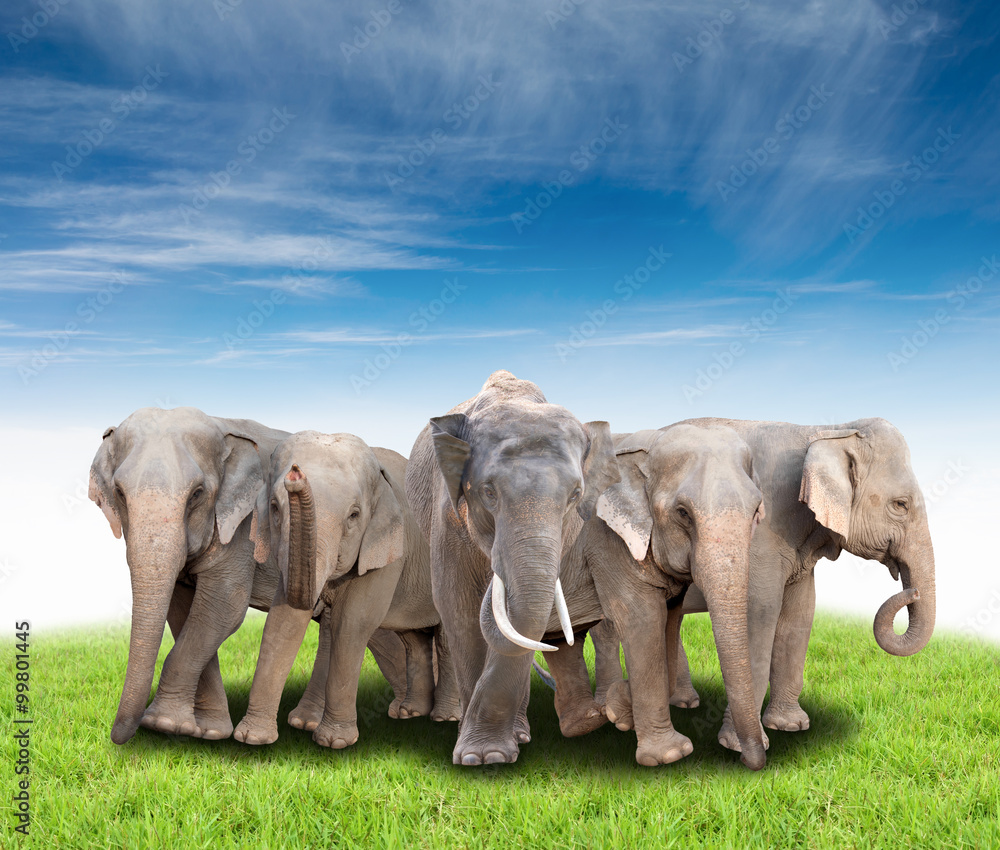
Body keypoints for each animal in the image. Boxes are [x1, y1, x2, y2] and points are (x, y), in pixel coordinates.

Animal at [89, 407, 420, 745]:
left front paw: (164, 724)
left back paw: (401, 711)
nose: (117, 737)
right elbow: (183, 612)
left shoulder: (242, 531)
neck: (221, 426)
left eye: (197, 494)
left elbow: (223, 607)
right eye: (119, 493)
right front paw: (208, 731)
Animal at [233, 431, 460, 750]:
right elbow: (284, 624)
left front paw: (333, 742)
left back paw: (445, 717)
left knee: (446, 636)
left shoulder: (388, 548)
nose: (295, 474)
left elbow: (351, 623)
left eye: (354, 515)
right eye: (275, 508)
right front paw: (254, 738)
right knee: (412, 639)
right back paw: (409, 712)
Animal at [405, 370, 619, 766]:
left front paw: (491, 753)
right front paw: (478, 757)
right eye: (488, 492)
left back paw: (519, 733)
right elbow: (458, 609)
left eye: (575, 495)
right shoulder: (447, 515)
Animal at [543, 422, 768, 769]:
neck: (650, 441)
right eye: (683, 513)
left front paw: (619, 710)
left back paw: (584, 723)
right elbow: (643, 619)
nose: (752, 761)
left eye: (757, 510)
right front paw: (669, 755)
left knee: (560, 642)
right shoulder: (604, 539)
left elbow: (668, 622)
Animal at [595, 417, 936, 753]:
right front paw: (741, 745)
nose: (912, 591)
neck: (825, 430)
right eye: (901, 505)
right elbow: (759, 613)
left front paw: (791, 726)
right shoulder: (762, 537)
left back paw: (679, 703)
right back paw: (605, 713)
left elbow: (800, 615)